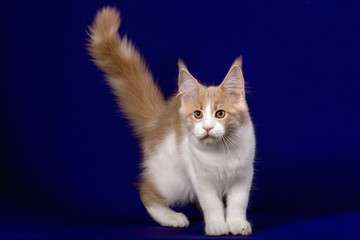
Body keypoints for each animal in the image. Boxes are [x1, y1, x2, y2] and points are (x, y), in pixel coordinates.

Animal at [87, 6, 256, 235]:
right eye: (198, 114)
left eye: (220, 114)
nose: (208, 127)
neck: (221, 153)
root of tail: (158, 120)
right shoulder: (201, 179)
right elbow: (211, 203)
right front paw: (217, 224)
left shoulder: (243, 176)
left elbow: (238, 203)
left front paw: (236, 223)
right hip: (173, 181)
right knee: (145, 191)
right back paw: (172, 218)